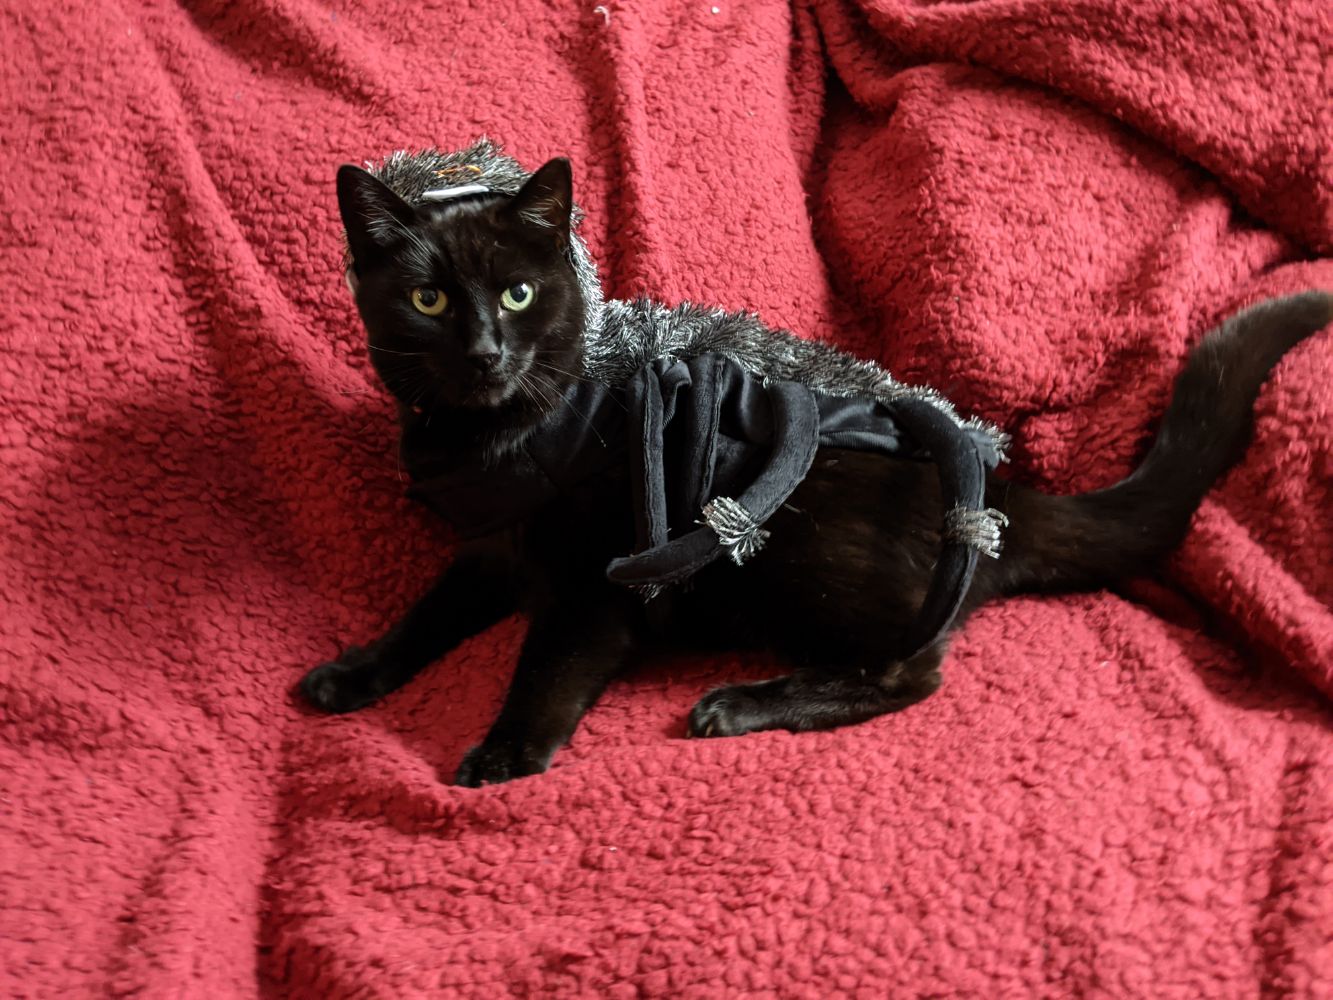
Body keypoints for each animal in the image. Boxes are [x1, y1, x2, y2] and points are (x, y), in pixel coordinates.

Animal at [302, 152, 1333, 789]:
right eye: (429, 301)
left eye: (517, 294)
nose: (483, 352)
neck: (502, 439)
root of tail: (1004, 496)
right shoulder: (489, 551)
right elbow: (424, 616)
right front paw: (352, 674)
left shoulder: (603, 582)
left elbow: (545, 662)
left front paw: (506, 749)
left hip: (798, 551)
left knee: (912, 671)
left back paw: (741, 705)